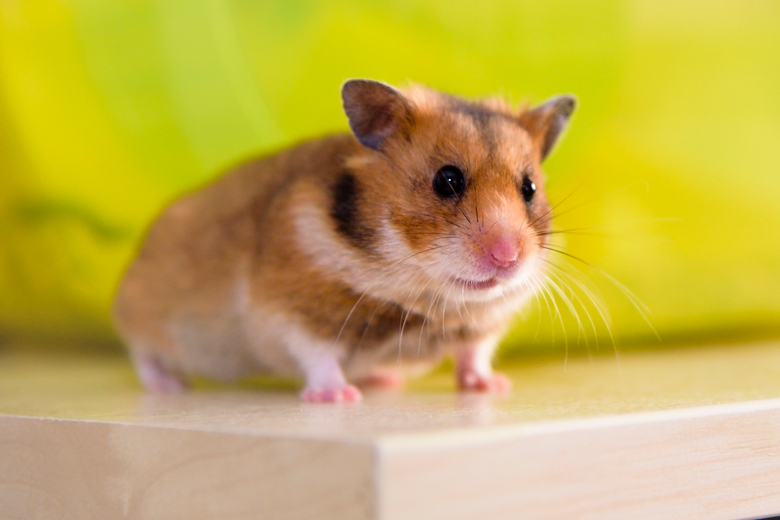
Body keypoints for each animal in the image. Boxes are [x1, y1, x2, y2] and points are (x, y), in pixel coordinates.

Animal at [111, 79, 572, 402]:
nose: (508, 257)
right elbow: (318, 356)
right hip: (143, 313)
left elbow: (474, 354)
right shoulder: (291, 310)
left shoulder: (482, 326)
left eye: (529, 187)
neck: (424, 296)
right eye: (447, 180)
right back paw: (169, 386)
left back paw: (382, 378)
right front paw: (337, 397)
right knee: (141, 352)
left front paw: (495, 386)